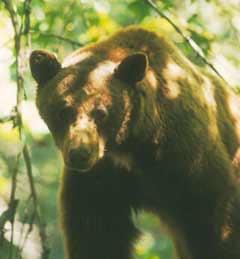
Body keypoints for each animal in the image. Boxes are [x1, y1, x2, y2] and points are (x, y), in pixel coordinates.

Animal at [29, 26, 240, 259]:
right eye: (64, 111)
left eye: (100, 112)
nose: (80, 154)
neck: (131, 144)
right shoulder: (101, 176)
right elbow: (97, 234)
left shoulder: (187, 157)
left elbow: (213, 218)